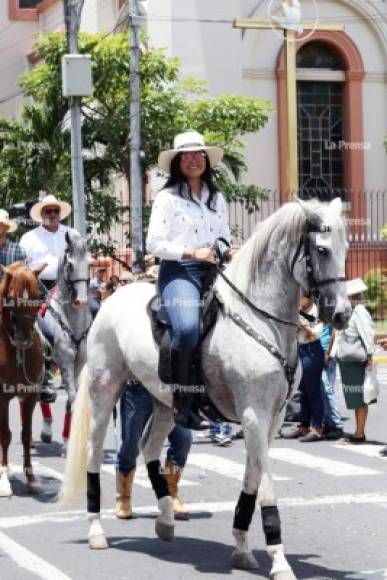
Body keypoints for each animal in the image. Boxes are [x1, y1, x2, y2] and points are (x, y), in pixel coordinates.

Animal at [59, 197, 352, 576]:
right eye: (321, 249)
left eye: (346, 248)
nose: (343, 314)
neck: (263, 321)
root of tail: (110, 301)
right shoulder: (254, 414)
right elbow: (266, 486)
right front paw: (279, 561)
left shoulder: (271, 419)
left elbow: (252, 479)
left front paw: (241, 547)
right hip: (104, 389)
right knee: (95, 454)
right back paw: (97, 531)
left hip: (165, 403)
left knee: (149, 448)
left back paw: (166, 520)